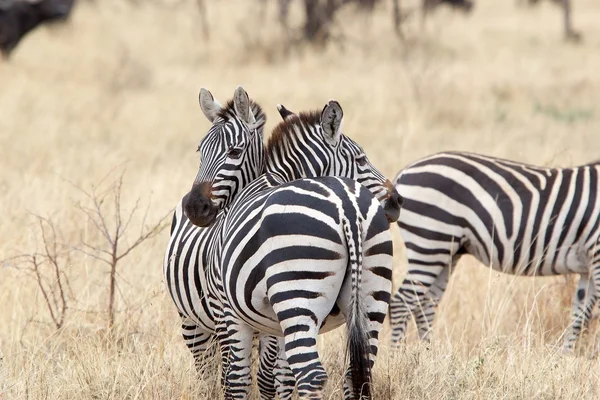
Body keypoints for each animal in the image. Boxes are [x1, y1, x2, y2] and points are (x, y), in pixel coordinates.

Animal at [185, 101, 404, 400]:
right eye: (361, 160)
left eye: (234, 152)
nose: (193, 207)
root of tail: (347, 206)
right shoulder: (271, 322)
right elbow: (274, 376)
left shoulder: (230, 310)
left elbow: (238, 379)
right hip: (372, 296)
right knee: (357, 374)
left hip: (298, 294)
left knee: (311, 375)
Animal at [392, 151, 600, 354]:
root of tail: (405, 171)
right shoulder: (597, 255)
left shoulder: (588, 267)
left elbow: (579, 316)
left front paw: (564, 358)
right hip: (429, 242)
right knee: (401, 303)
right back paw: (399, 359)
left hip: (446, 251)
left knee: (425, 304)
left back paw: (427, 357)